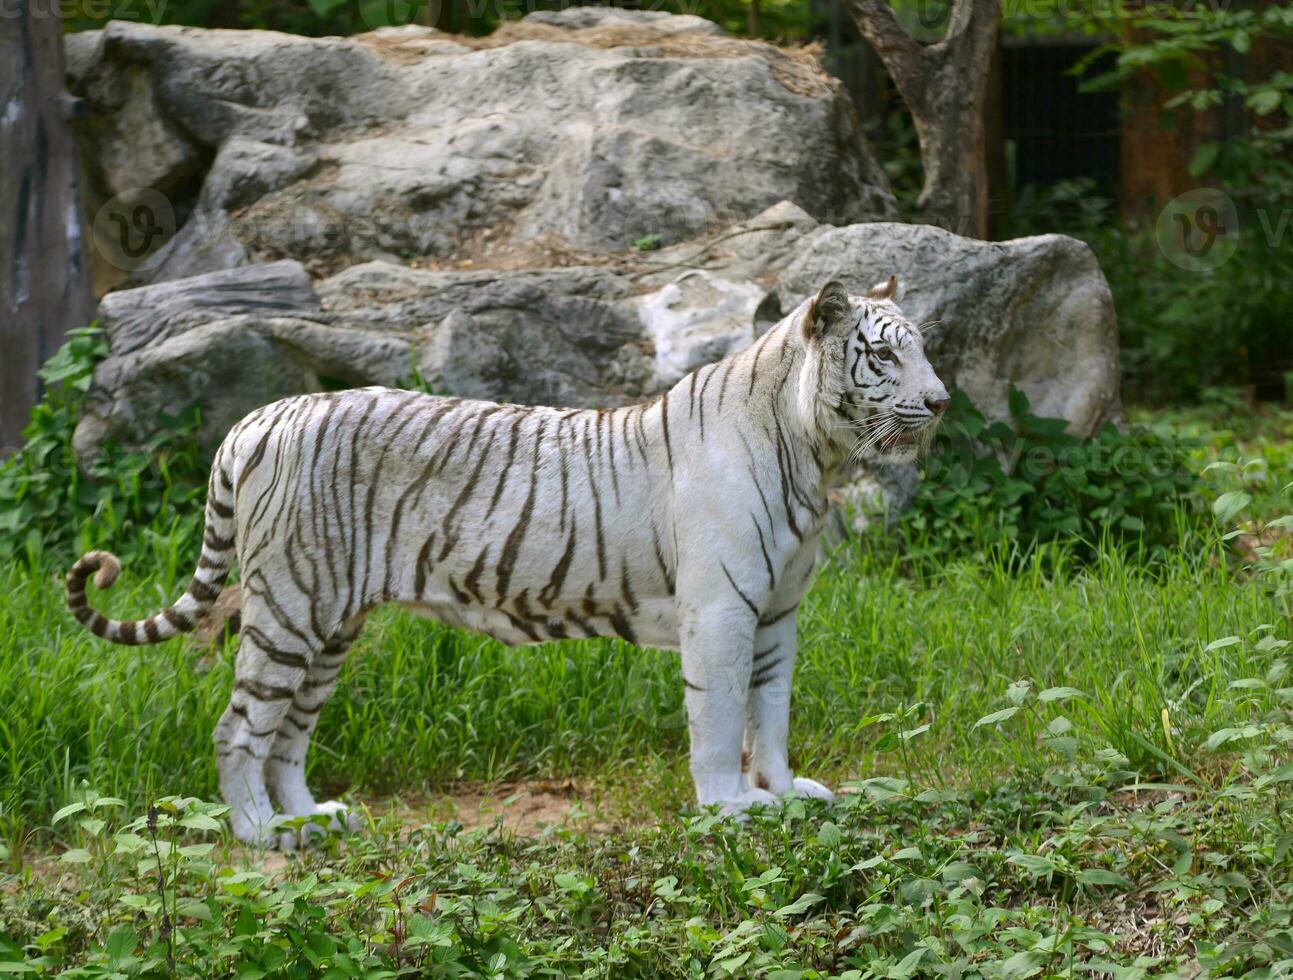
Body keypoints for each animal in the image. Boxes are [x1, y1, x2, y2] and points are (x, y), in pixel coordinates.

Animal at [68, 274, 951, 842]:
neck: (812, 455)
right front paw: (729, 807)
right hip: (290, 606)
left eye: (921, 351)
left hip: (332, 622)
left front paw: (785, 790)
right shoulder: (722, 610)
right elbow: (719, 715)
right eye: (883, 356)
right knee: (239, 726)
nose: (941, 401)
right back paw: (257, 832)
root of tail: (258, 418)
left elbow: (769, 713)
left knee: (289, 730)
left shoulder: (776, 612)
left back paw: (311, 819)